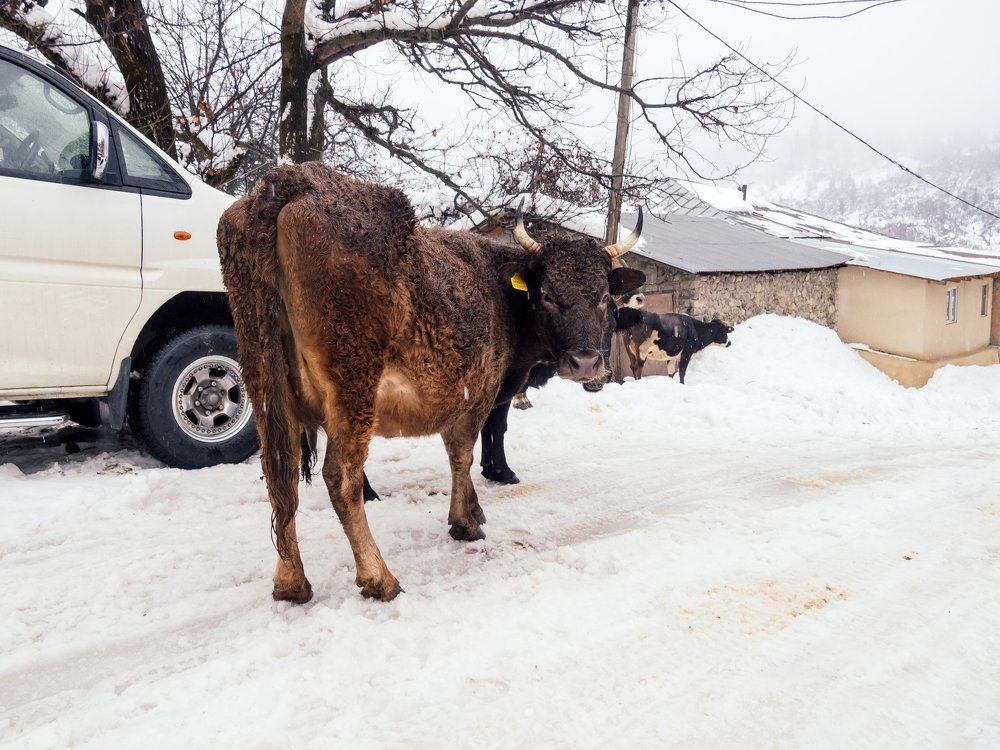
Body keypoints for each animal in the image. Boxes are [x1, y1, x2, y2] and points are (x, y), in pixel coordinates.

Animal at [216, 163, 644, 604]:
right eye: (547, 295)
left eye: (603, 297)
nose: (585, 362)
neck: (500, 288)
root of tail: (290, 181)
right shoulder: (480, 391)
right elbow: (463, 452)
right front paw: (466, 520)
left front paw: (475, 509)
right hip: (352, 386)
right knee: (342, 476)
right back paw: (379, 577)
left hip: (263, 379)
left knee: (279, 473)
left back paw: (291, 583)